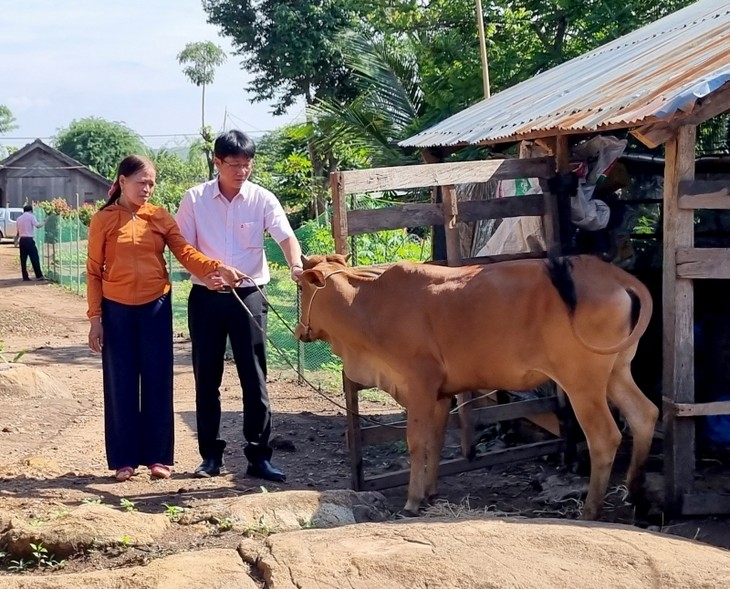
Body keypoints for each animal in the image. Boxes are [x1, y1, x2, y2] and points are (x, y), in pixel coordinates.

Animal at [292, 253, 656, 520]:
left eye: (301, 289)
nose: (298, 330)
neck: (367, 303)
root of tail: (610, 274)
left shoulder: (420, 384)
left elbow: (416, 442)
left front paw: (412, 501)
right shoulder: (441, 395)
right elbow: (435, 442)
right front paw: (429, 493)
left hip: (583, 382)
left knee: (605, 437)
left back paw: (591, 510)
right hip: (616, 373)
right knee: (645, 415)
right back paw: (635, 492)